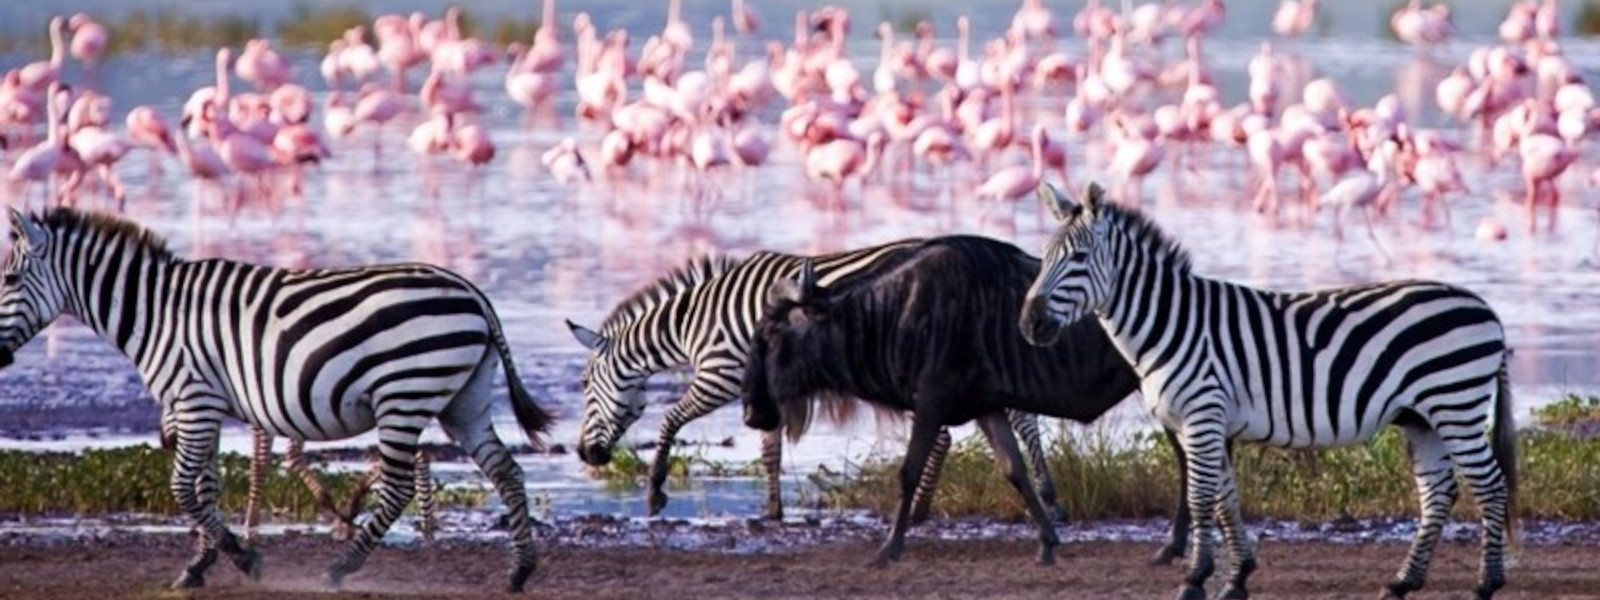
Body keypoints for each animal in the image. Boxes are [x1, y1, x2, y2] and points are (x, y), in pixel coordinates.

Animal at [0, 209, 553, 595]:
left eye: (7, 279)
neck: (155, 313)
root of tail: (472, 292)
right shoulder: (206, 404)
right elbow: (206, 486)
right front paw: (200, 565)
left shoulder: (194, 399)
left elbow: (182, 487)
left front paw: (243, 559)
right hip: (463, 400)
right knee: (506, 471)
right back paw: (519, 572)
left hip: (404, 394)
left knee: (398, 487)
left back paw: (340, 568)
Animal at [569, 238, 1068, 521]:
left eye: (585, 386)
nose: (584, 454)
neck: (694, 321)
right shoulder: (762, 388)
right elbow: (770, 451)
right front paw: (773, 511)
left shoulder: (720, 375)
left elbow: (670, 420)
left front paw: (654, 492)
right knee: (1016, 420)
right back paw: (1047, 497)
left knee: (959, 430)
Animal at [1017, 182, 1516, 600]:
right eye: (1044, 257)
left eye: (1079, 258)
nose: (1030, 324)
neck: (1170, 324)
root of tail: (1486, 307)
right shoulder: (1209, 423)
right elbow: (1225, 501)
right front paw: (1235, 578)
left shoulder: (1202, 416)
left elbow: (1201, 500)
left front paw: (1193, 580)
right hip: (1422, 418)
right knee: (1438, 493)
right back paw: (1402, 583)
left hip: (1455, 405)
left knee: (1490, 486)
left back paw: (1485, 585)